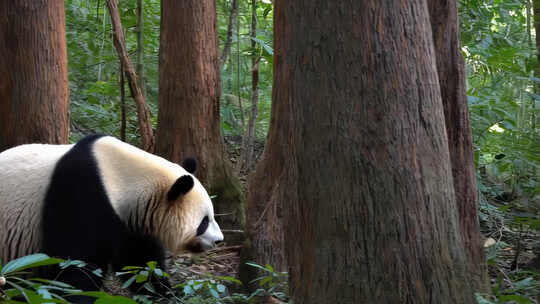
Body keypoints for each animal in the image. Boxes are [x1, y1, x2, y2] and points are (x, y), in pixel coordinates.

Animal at [0, 136, 224, 296]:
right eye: (204, 222)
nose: (219, 240)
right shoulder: (81, 195)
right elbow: (72, 264)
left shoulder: (131, 219)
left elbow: (141, 261)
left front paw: (165, 292)